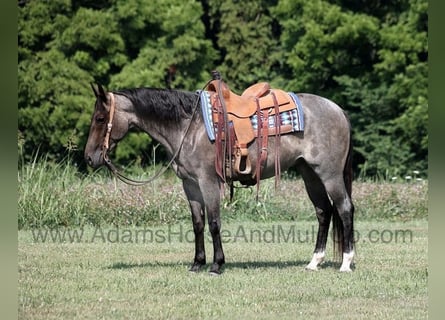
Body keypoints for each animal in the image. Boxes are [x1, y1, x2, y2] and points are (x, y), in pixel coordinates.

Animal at [83, 81, 354, 274]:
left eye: (100, 118)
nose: (89, 158)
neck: (188, 127)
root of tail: (338, 109)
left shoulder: (208, 181)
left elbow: (214, 222)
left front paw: (216, 265)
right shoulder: (190, 185)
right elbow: (198, 224)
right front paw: (197, 263)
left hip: (329, 174)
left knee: (344, 208)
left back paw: (346, 263)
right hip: (309, 174)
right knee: (324, 212)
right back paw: (314, 262)